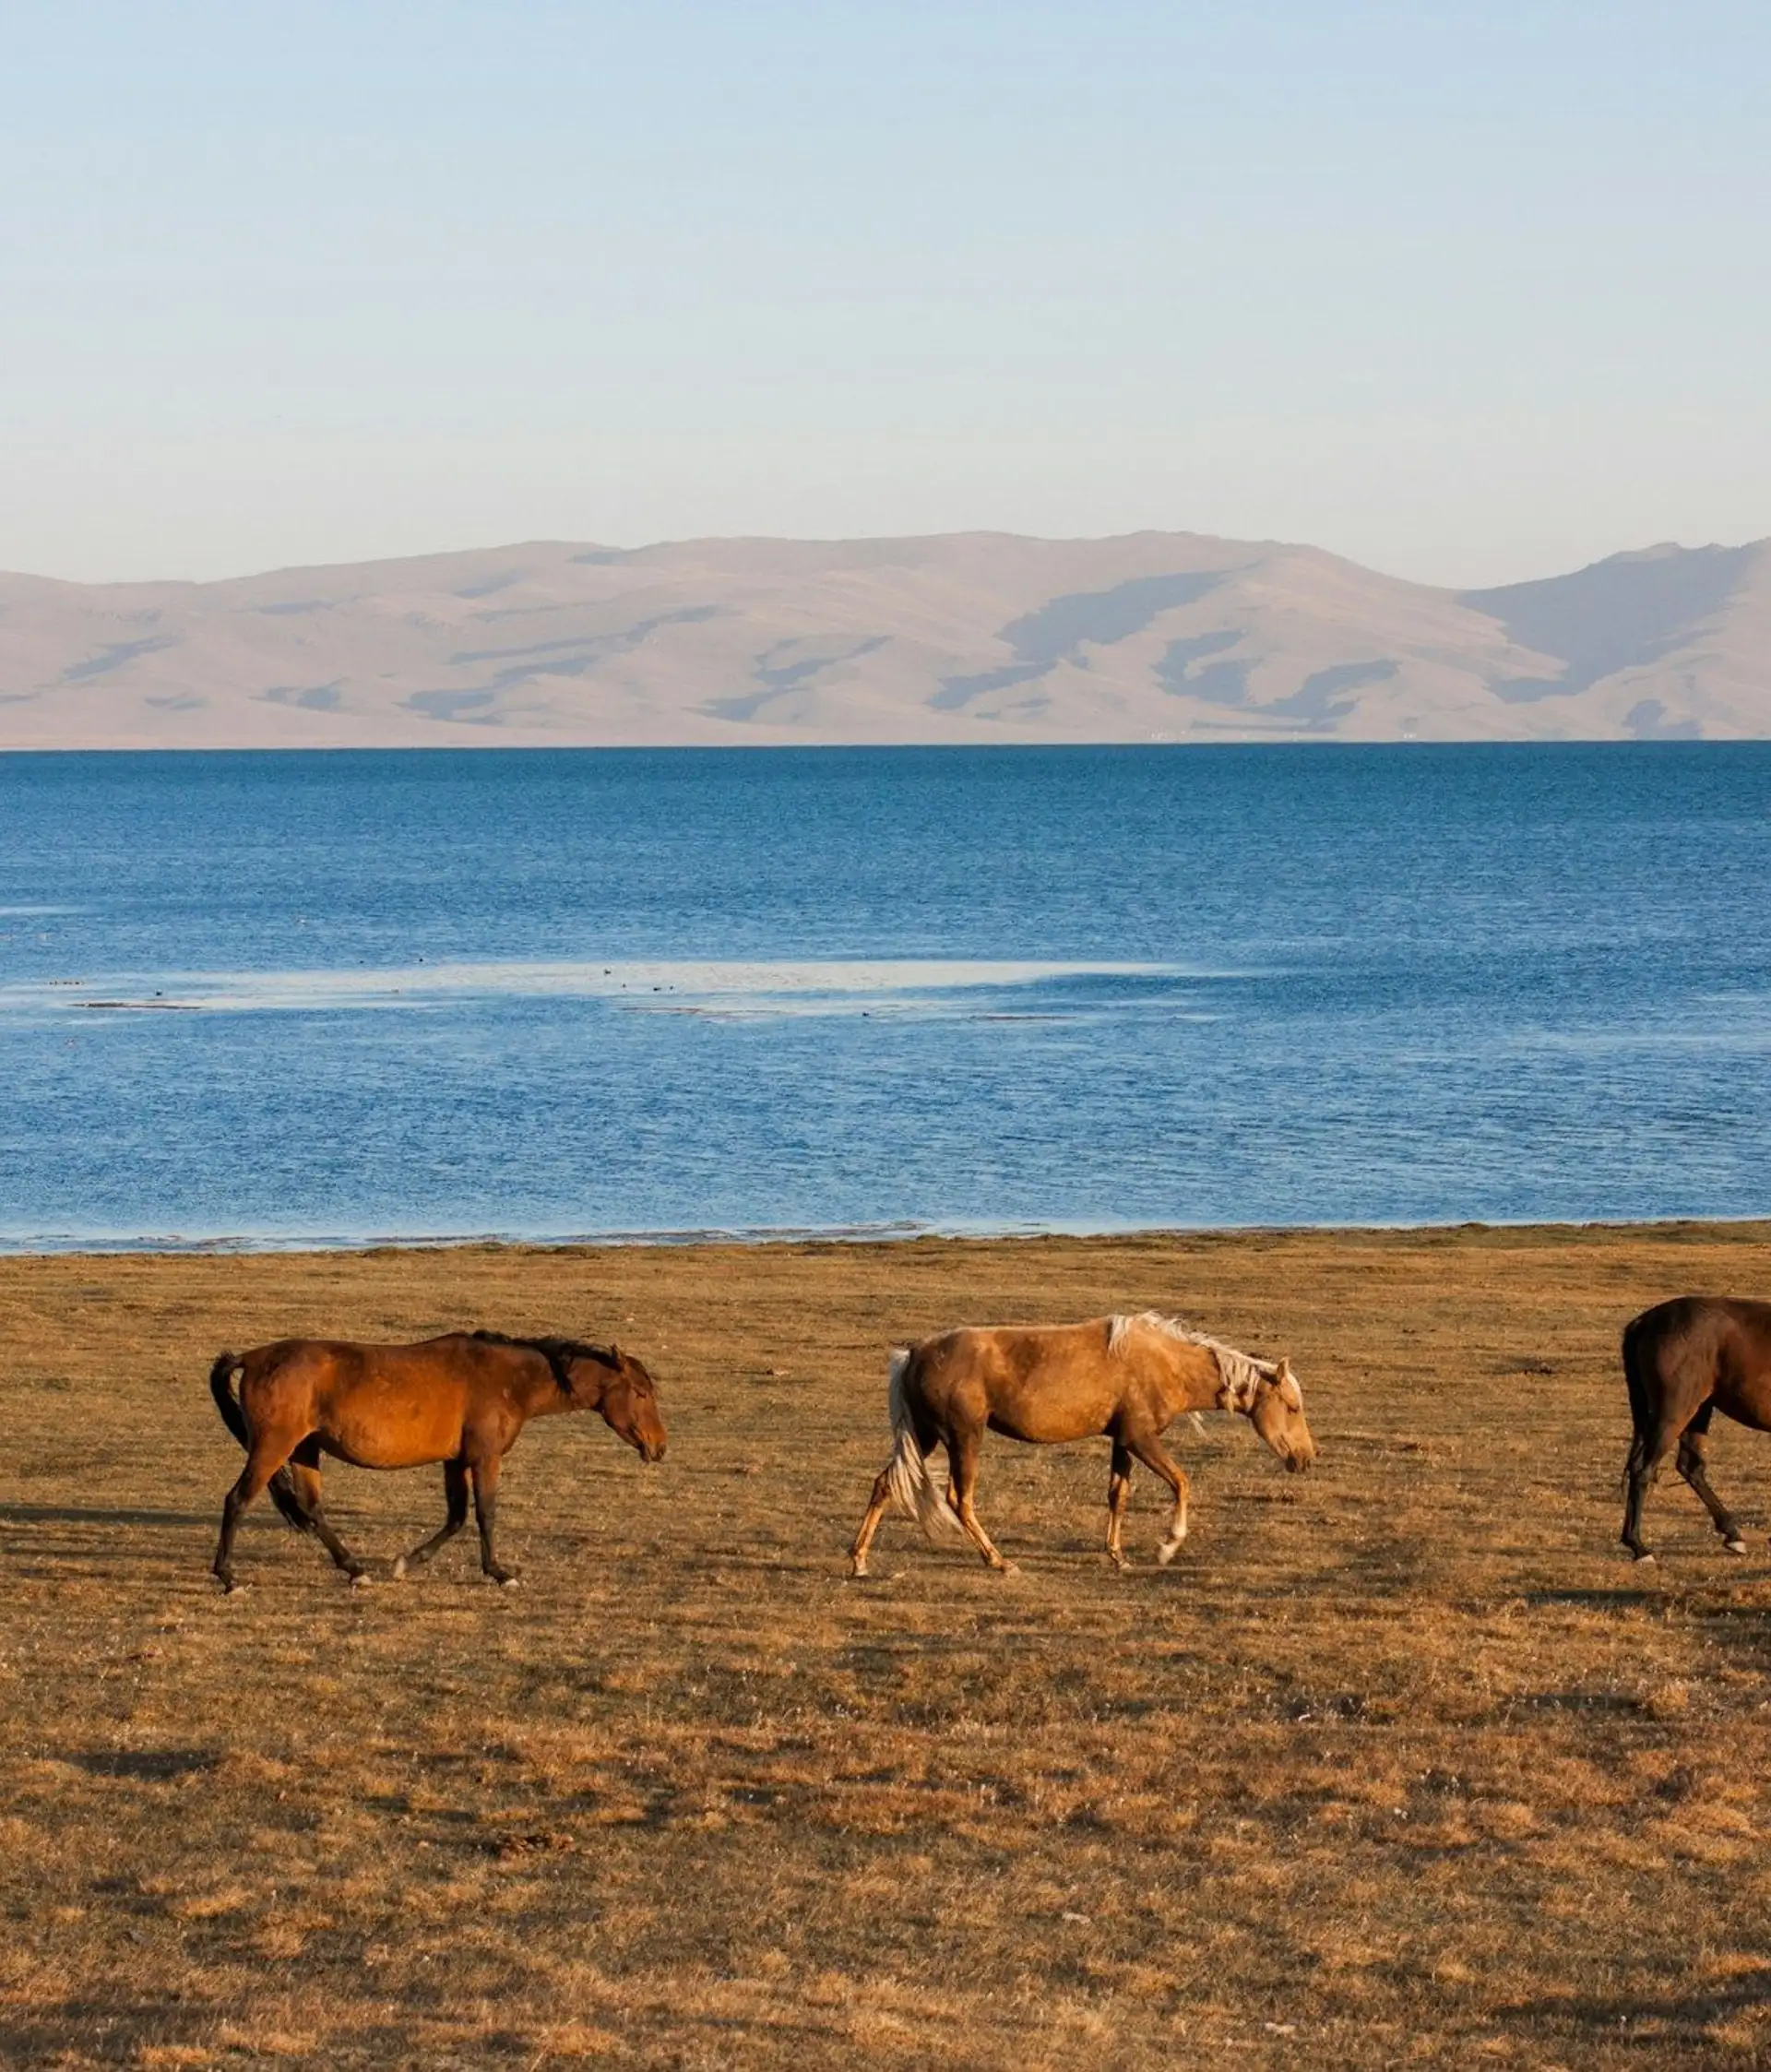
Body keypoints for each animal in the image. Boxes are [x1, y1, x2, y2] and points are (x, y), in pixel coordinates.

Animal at [208, 1330, 666, 1592]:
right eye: (641, 1393)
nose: (659, 1447)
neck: (508, 1379)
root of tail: (253, 1357)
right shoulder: (485, 1458)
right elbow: (485, 1514)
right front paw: (500, 1573)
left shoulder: (455, 1461)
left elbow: (456, 1517)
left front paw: (405, 1563)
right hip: (273, 1448)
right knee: (237, 1501)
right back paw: (228, 1578)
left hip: (304, 1450)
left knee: (312, 1509)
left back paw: (355, 1569)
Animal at [849, 1311, 1315, 1576]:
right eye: (1292, 1407)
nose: (1305, 1458)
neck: (1165, 1362)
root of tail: (914, 1354)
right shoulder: (1140, 1439)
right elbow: (1181, 1482)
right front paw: (1168, 1546)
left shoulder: (1122, 1442)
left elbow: (1118, 1496)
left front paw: (1118, 1556)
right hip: (963, 1437)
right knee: (959, 1499)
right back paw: (999, 1561)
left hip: (925, 1437)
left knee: (885, 1485)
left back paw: (859, 1561)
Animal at [1621, 1295, 1771, 1561]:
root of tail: (1644, 1321)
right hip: (1675, 1412)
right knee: (1643, 1470)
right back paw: (1639, 1547)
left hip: (1698, 1411)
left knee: (1689, 1467)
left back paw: (1732, 1534)